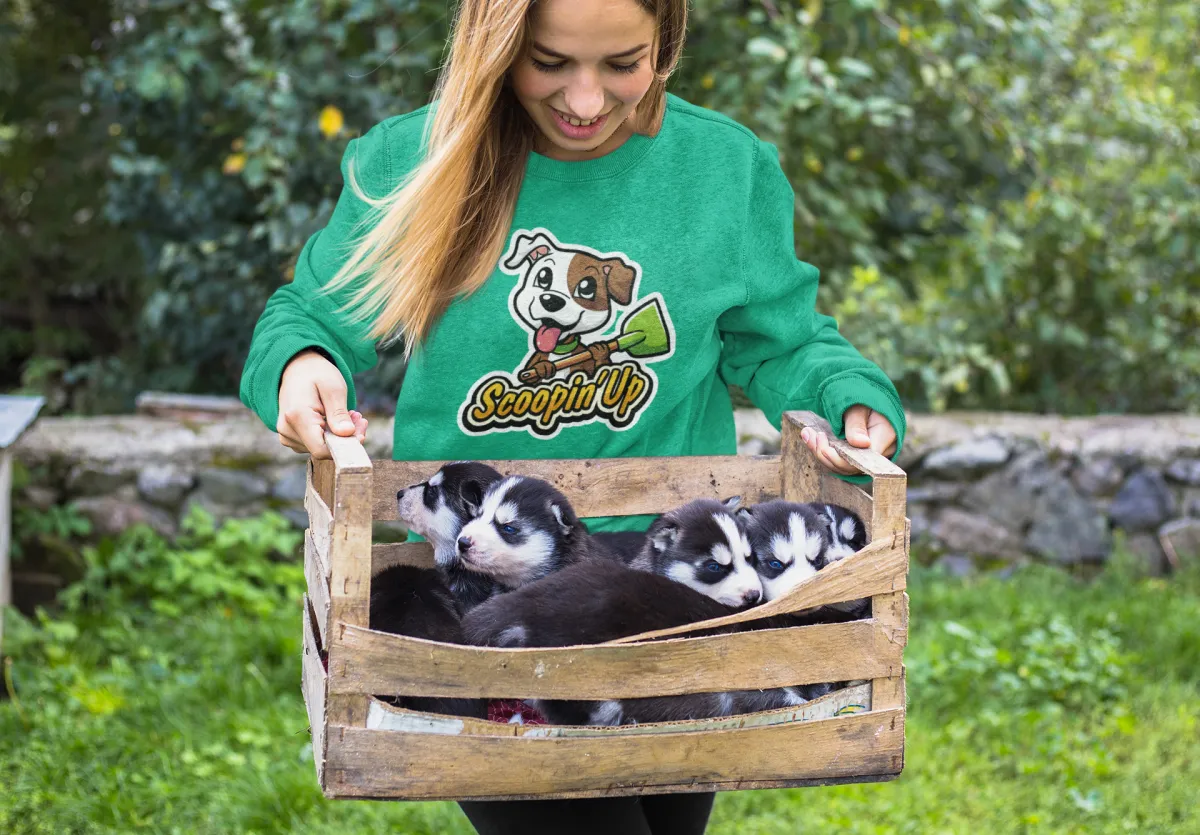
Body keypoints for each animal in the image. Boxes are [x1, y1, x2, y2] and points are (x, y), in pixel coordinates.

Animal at [503, 230, 638, 384]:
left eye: (586, 288)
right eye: (543, 277)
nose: (552, 301)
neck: (561, 351)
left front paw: (600, 350)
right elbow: (530, 376)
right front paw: (542, 367)